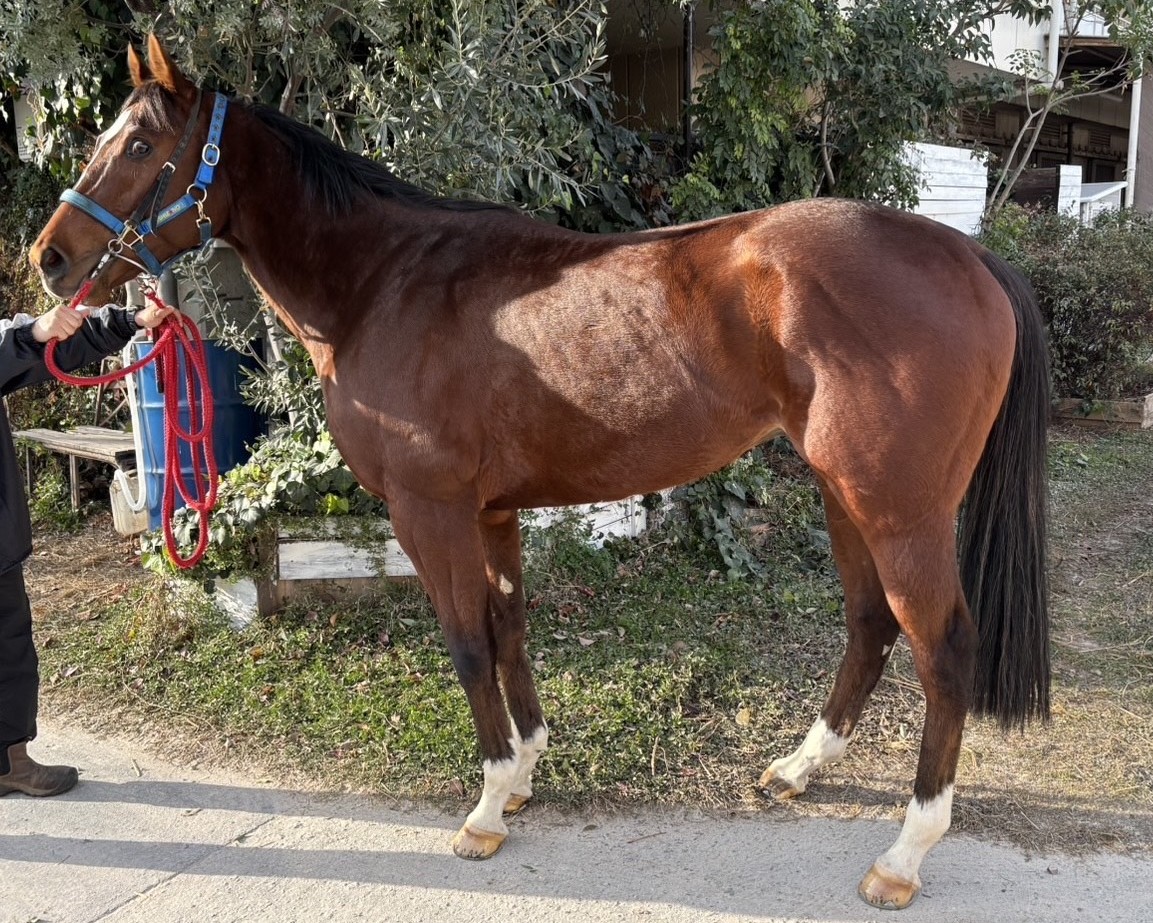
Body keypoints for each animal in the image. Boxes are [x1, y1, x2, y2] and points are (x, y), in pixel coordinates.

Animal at [30, 37, 1049, 910]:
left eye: (139, 144)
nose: (49, 259)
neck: (383, 283)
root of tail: (967, 254)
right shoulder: (492, 514)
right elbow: (509, 630)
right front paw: (520, 774)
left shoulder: (431, 513)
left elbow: (465, 643)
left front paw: (483, 810)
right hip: (847, 496)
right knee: (870, 626)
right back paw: (799, 770)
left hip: (898, 511)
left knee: (942, 652)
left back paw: (903, 854)